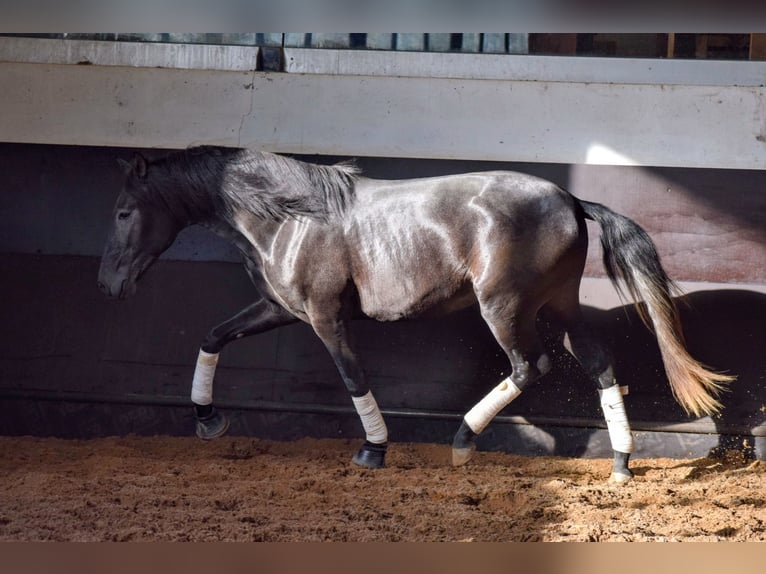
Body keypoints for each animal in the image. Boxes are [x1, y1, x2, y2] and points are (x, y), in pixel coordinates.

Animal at [96, 146, 732, 484]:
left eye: (125, 211)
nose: (108, 284)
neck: (287, 219)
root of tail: (572, 200)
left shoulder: (326, 319)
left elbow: (354, 378)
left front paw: (373, 450)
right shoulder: (280, 309)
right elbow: (213, 336)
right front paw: (208, 421)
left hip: (504, 307)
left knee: (530, 366)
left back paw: (463, 440)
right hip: (560, 304)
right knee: (597, 361)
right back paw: (621, 462)